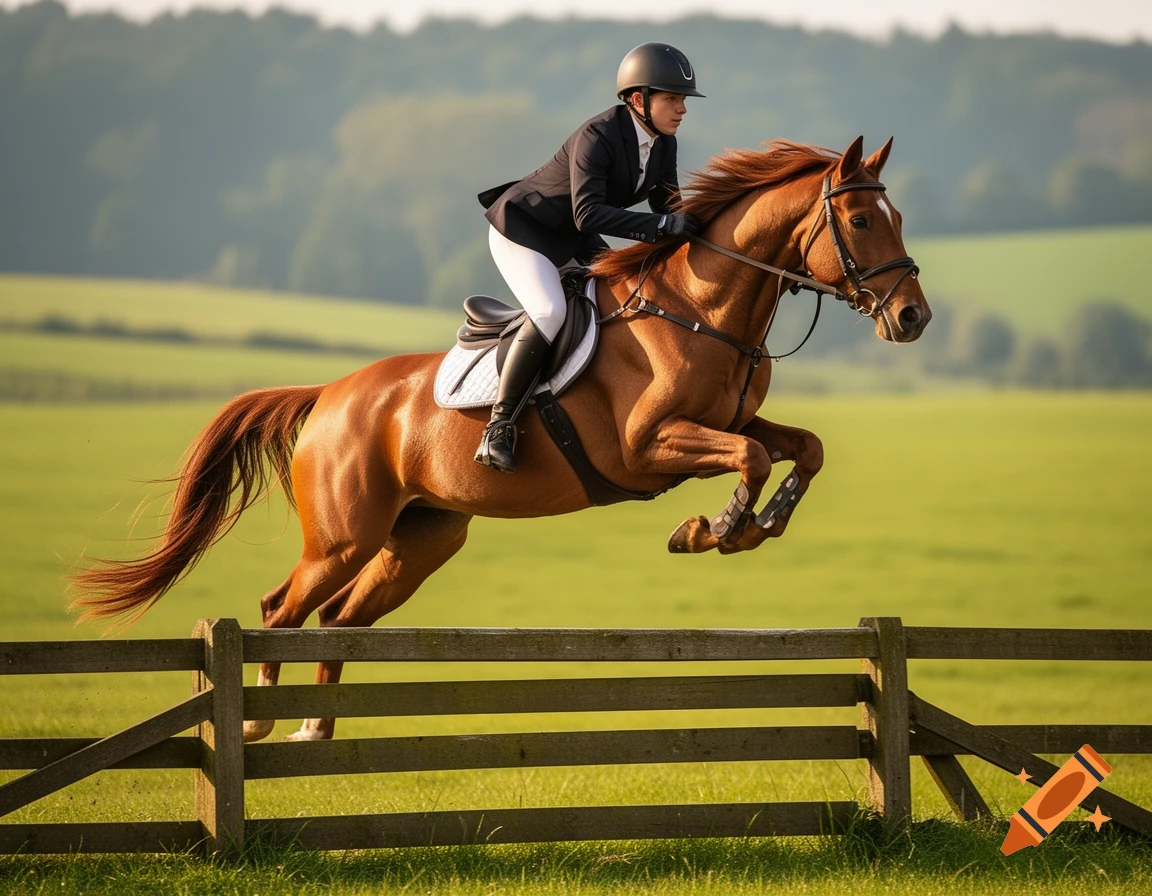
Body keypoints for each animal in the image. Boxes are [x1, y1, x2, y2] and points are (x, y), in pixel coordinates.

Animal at [71, 136, 930, 743]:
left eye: (896, 217)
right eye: (860, 220)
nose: (913, 317)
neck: (699, 306)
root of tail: (330, 397)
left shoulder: (727, 421)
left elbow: (801, 447)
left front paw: (762, 522)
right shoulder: (651, 446)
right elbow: (750, 457)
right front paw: (710, 529)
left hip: (420, 538)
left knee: (341, 618)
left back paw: (317, 728)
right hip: (343, 537)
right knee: (280, 608)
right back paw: (256, 720)